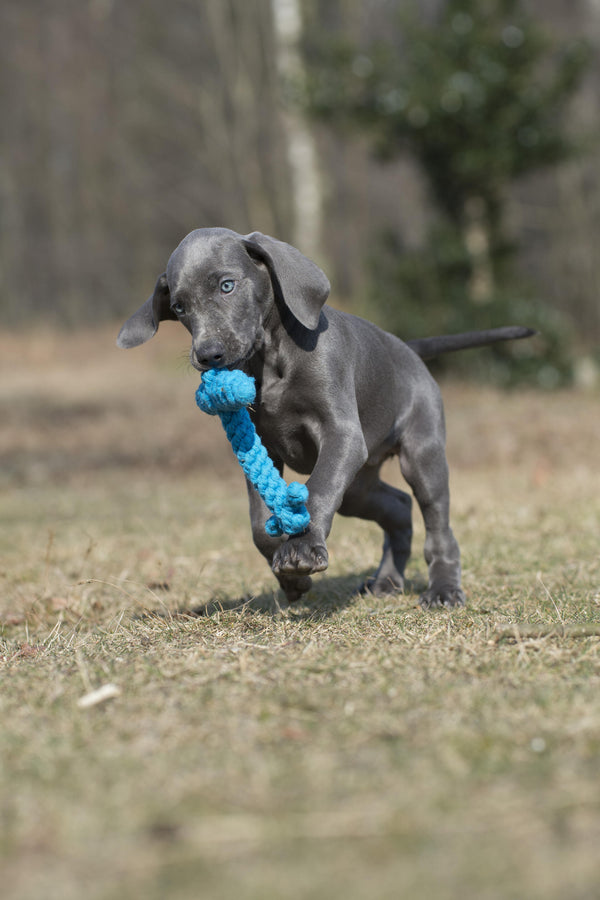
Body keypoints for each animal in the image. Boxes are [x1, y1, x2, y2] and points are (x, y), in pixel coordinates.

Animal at [117, 230, 536, 612]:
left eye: (226, 285)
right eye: (179, 306)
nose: (207, 355)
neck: (272, 357)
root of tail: (408, 349)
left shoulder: (342, 434)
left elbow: (316, 491)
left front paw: (301, 550)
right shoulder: (259, 446)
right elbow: (259, 524)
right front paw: (291, 579)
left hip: (422, 454)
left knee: (437, 523)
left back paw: (444, 590)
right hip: (358, 486)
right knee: (399, 507)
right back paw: (386, 581)